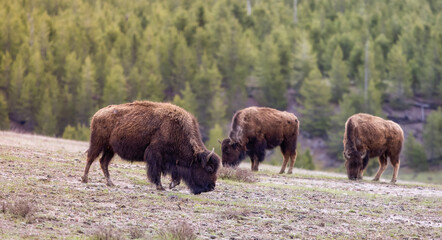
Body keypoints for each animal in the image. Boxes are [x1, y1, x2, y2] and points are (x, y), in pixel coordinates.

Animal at [80, 100, 221, 194]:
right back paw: (85, 179)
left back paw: (110, 183)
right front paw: (160, 186)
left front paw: (171, 184)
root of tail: (97, 114)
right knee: (90, 158)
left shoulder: (172, 161)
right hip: (98, 143)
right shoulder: (155, 154)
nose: (212, 187)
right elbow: (156, 171)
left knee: (103, 162)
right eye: (209, 169)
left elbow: (175, 176)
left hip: (110, 149)